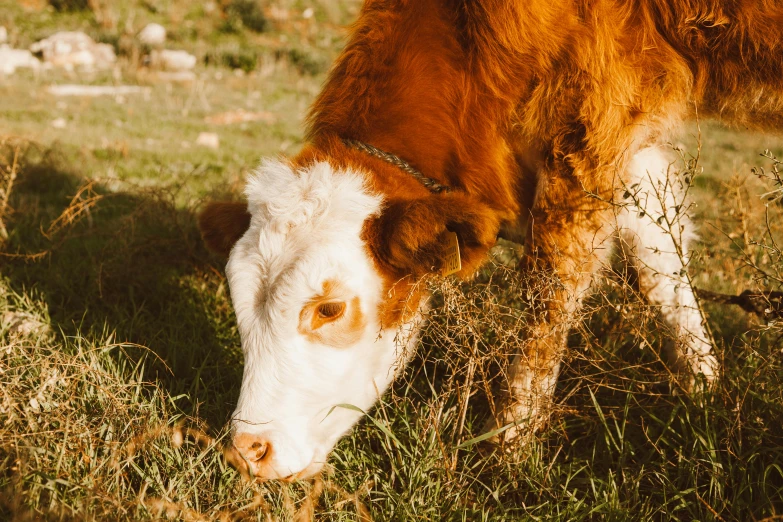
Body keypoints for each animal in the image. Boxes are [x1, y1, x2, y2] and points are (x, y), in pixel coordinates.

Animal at [198, 0, 783, 480]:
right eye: (236, 299)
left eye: (330, 309)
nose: (248, 450)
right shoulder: (627, 140)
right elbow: (660, 263)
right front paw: (705, 391)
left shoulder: (589, 127)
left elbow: (550, 292)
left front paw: (506, 452)